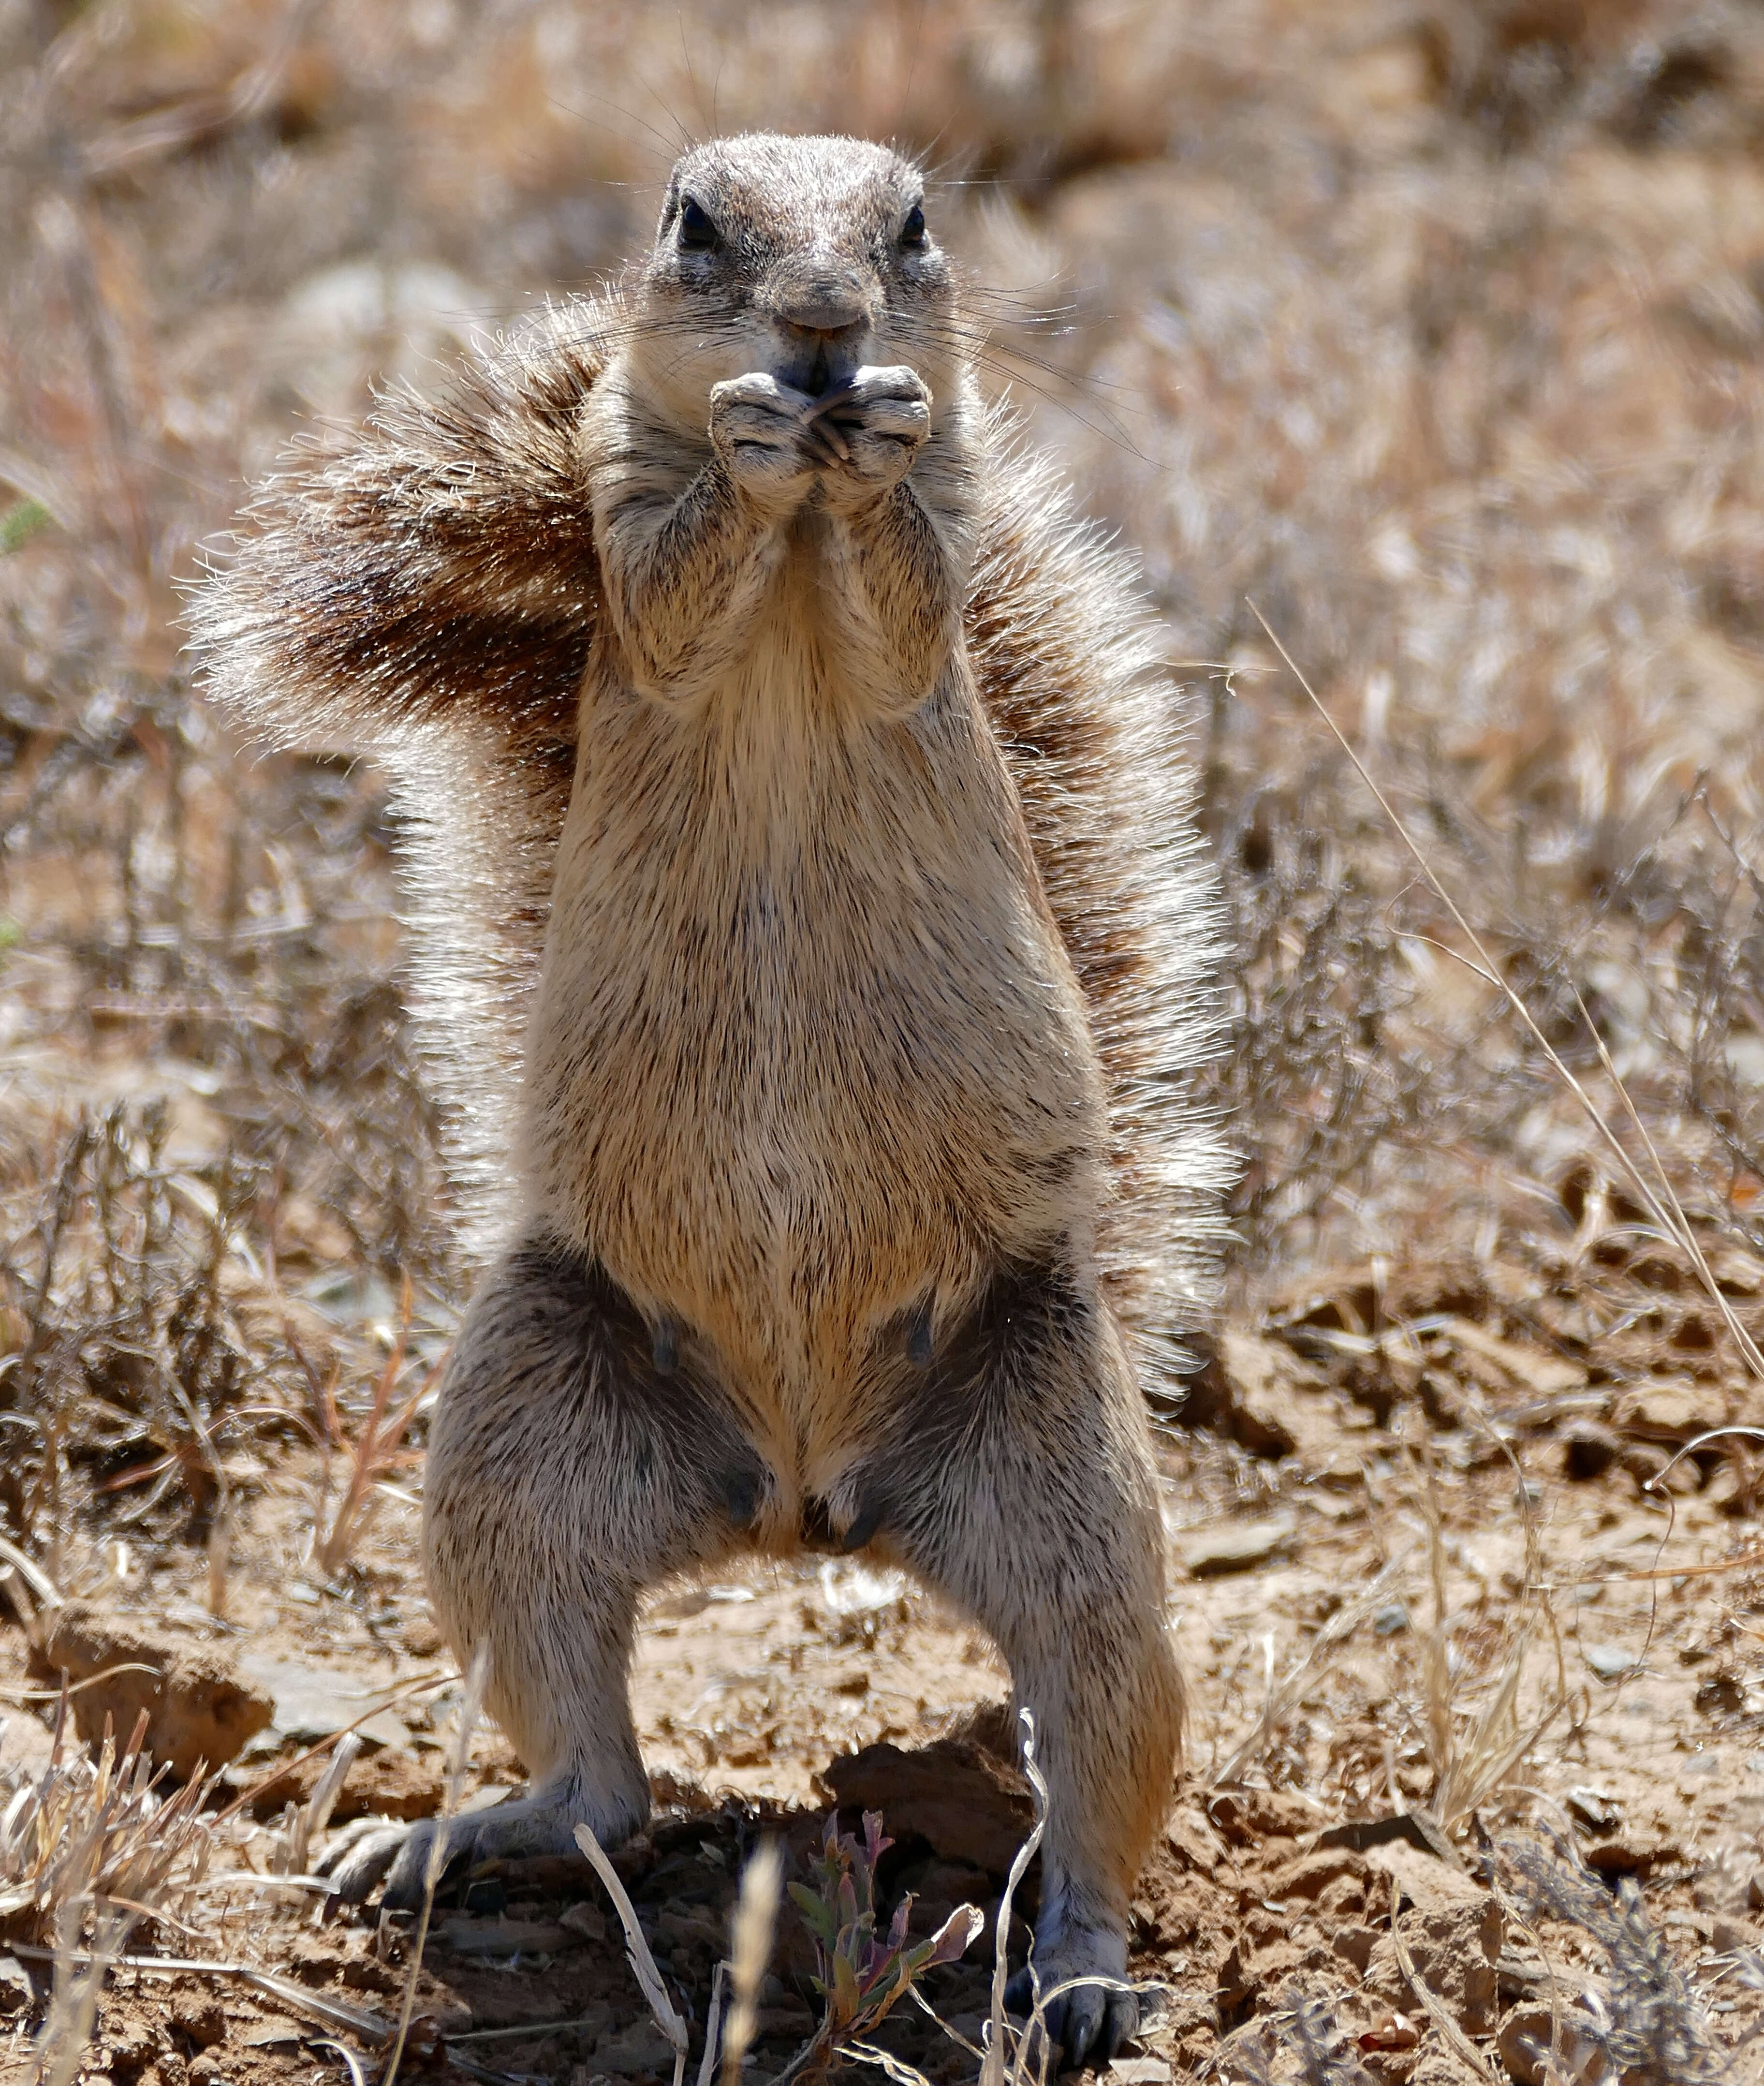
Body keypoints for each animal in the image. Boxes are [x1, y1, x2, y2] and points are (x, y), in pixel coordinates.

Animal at [194, 134, 1234, 2069]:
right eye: (690, 222)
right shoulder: (625, 524)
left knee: (1093, 1754)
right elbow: (671, 582)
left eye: (913, 224)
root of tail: (803, 1498)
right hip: (517, 1455)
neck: (799, 534)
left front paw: (869, 429)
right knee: (600, 1774)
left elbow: (911, 584)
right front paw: (753, 431)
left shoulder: (928, 545)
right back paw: (450, 1836)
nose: (820, 327)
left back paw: (1076, 1967)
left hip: (1066, 1489)